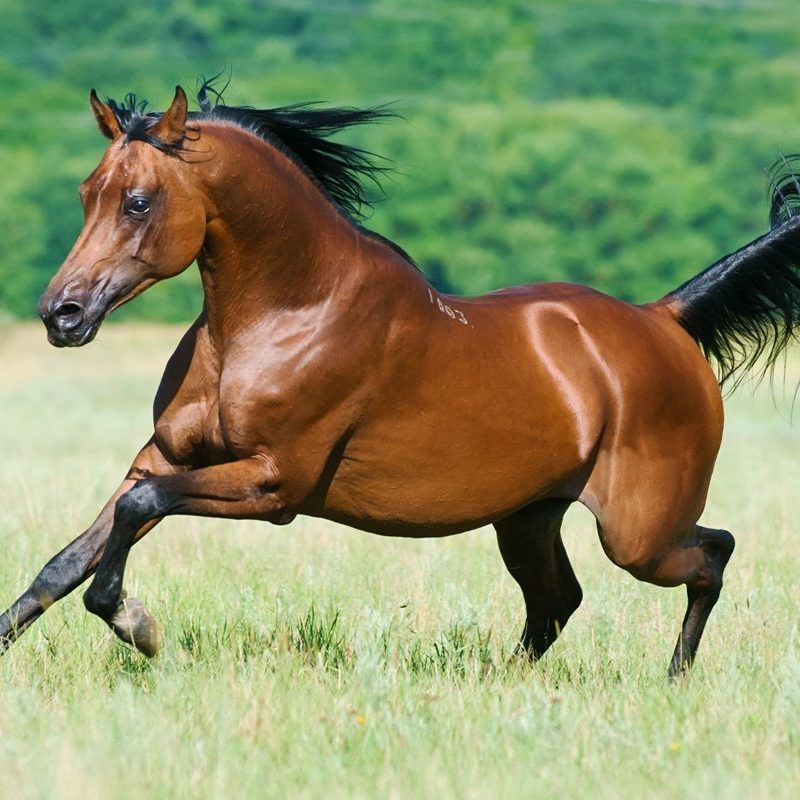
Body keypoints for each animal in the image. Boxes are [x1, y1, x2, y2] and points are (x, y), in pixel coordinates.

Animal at [2, 83, 800, 678]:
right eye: (87, 192)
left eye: (138, 200)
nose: (61, 315)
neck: (285, 311)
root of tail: (666, 320)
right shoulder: (163, 457)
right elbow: (69, 559)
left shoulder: (273, 485)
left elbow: (136, 516)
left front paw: (137, 625)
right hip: (529, 516)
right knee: (557, 601)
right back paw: (501, 682)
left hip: (637, 532)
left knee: (712, 554)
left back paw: (675, 677)